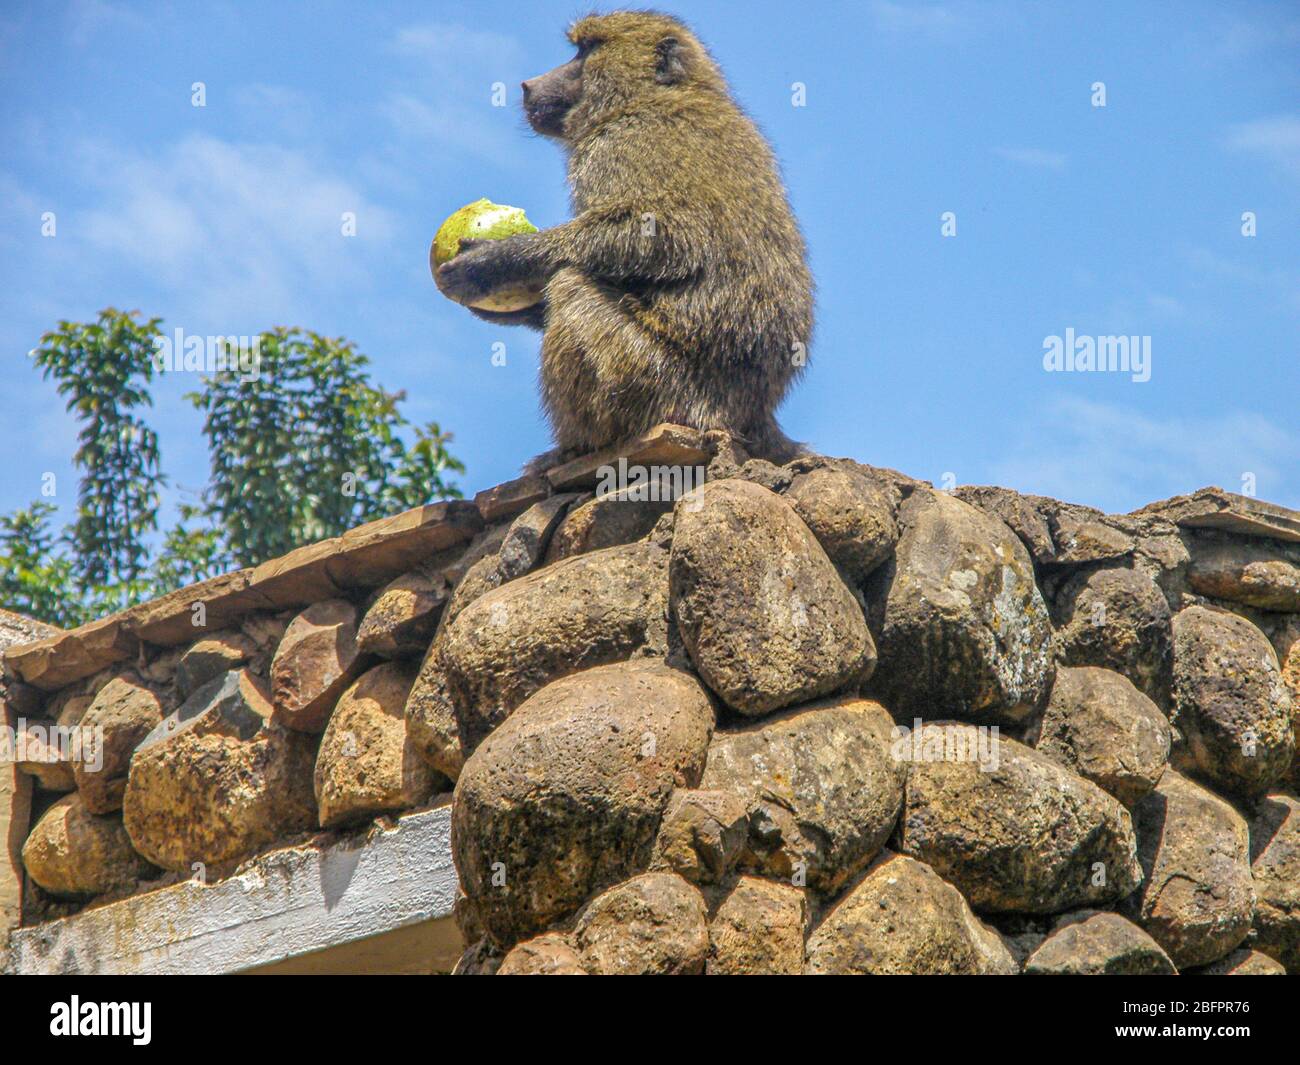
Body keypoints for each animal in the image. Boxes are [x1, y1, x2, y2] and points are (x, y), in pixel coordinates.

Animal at [436, 10, 813, 464]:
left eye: (587, 50)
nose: (529, 84)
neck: (648, 96)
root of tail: (753, 416)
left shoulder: (619, 142)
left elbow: (669, 234)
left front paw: (492, 262)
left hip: (663, 387)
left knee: (572, 285)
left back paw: (579, 445)